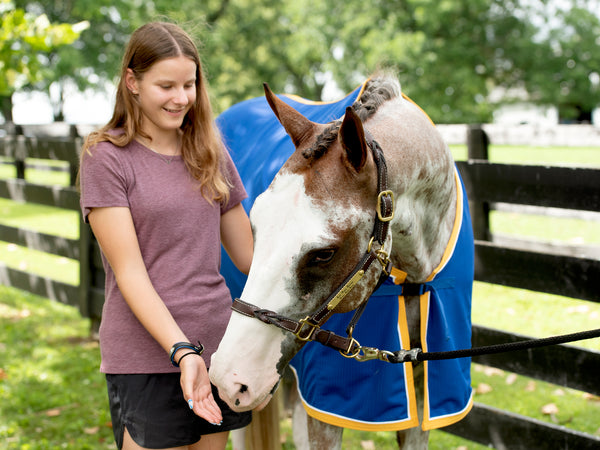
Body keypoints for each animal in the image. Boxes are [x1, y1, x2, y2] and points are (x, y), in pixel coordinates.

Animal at [210, 72, 474, 448]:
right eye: (253, 227)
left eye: (324, 254)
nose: (230, 378)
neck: (416, 279)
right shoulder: (323, 408)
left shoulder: (424, 392)